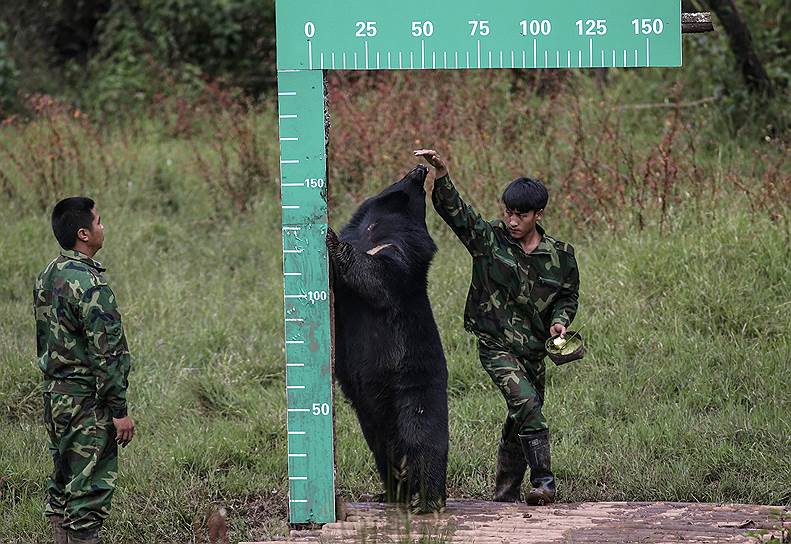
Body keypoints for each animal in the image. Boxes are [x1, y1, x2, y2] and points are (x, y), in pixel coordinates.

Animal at [324, 164, 448, 512]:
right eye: (408, 176)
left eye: (419, 186)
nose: (422, 167)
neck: (374, 227)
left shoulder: (400, 255)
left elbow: (378, 276)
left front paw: (331, 238)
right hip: (372, 420)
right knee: (386, 456)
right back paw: (391, 495)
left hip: (415, 397)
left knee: (425, 447)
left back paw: (427, 501)